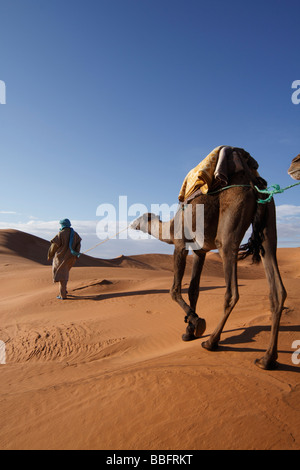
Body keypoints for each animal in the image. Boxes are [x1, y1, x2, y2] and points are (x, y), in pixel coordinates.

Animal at [132, 149, 288, 370]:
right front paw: (189, 330)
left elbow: (174, 289)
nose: (131, 224)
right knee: (277, 287)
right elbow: (194, 290)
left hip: (229, 228)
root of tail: (253, 183)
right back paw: (267, 359)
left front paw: (197, 323)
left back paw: (212, 342)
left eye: (139, 219)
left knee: (232, 291)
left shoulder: (180, 244)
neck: (169, 227)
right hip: (268, 223)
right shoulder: (200, 250)